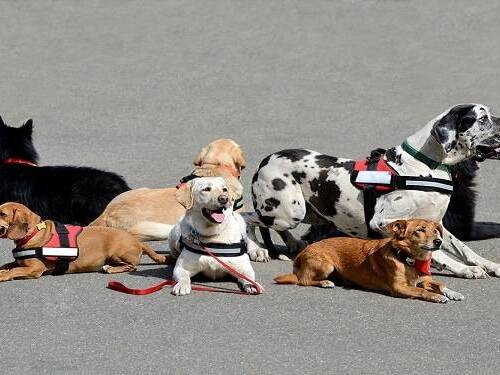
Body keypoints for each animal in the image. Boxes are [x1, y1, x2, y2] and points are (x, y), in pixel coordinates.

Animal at [0, 203, 167, 282]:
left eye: (2, 213)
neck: (33, 233)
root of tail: (137, 241)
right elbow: (7, 266)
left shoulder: (35, 269)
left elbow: (14, 271)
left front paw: (4, 276)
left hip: (115, 253)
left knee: (131, 267)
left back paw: (110, 269)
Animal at [248, 103, 500, 280]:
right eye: (483, 119)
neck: (424, 166)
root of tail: (265, 160)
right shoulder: (383, 222)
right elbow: (438, 252)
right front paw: (464, 269)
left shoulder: (438, 225)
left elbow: (464, 249)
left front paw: (487, 264)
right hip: (288, 212)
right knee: (248, 218)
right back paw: (256, 250)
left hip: (305, 214)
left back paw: (291, 244)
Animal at [274, 219, 464, 304]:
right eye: (420, 230)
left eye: (435, 230)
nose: (438, 241)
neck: (407, 259)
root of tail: (302, 253)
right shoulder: (399, 288)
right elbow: (422, 291)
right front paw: (436, 296)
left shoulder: (425, 279)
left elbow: (440, 284)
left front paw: (453, 292)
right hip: (326, 265)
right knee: (303, 280)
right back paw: (325, 283)